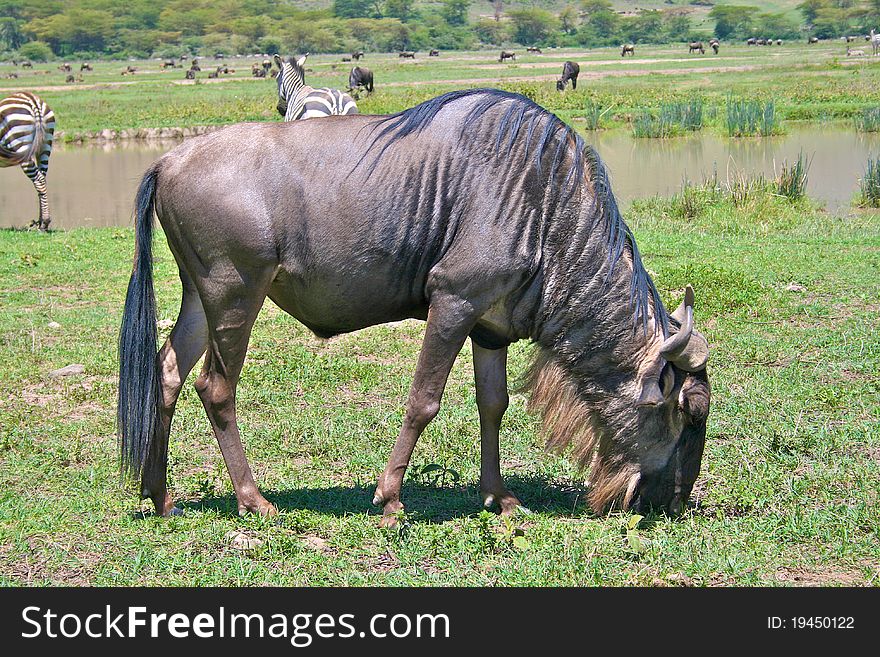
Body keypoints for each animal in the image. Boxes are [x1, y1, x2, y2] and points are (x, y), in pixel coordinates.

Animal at [0, 92, 55, 231]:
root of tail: (33, 100)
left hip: (21, 144)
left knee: (39, 180)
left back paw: (44, 223)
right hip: (45, 146)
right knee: (42, 179)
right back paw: (40, 223)